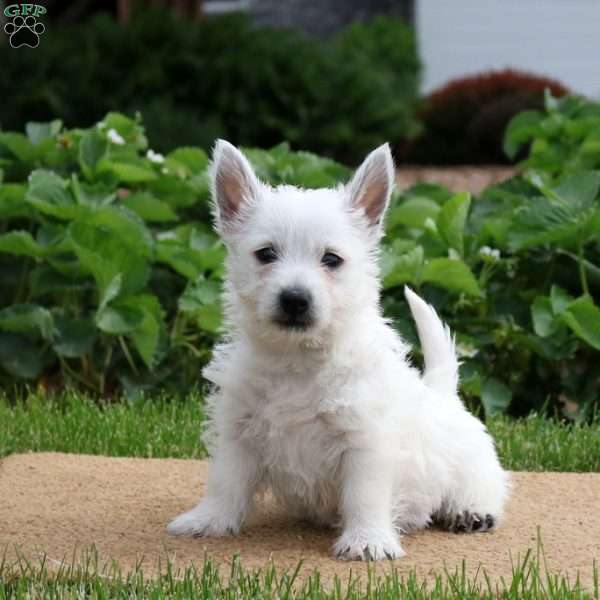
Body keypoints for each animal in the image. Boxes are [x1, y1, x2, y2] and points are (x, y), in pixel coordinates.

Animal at [166, 139, 508, 556]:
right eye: (266, 254)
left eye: (331, 259)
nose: (295, 299)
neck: (298, 361)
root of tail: (442, 393)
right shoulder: (238, 431)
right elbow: (225, 481)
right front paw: (208, 520)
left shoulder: (365, 442)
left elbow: (364, 495)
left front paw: (367, 541)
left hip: (472, 464)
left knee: (487, 485)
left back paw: (472, 511)